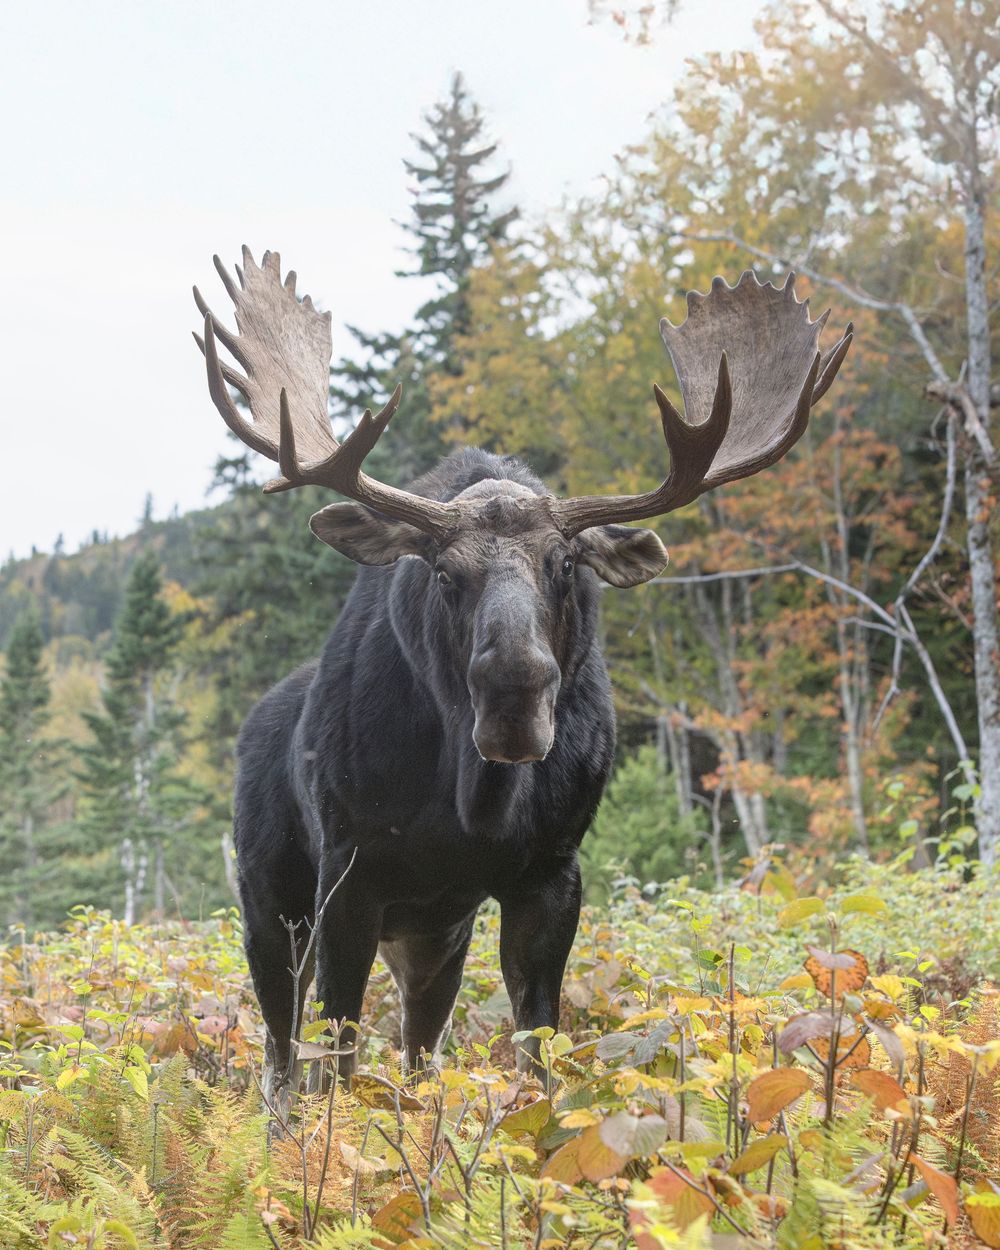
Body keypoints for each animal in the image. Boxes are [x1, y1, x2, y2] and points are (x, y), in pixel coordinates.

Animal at [194, 248, 851, 1108]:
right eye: (442, 572)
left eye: (564, 564)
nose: (516, 692)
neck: (471, 805)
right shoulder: (349, 875)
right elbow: (336, 1058)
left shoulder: (548, 872)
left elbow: (537, 1046)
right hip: (271, 905)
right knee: (279, 1059)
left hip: (434, 935)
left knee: (418, 1048)